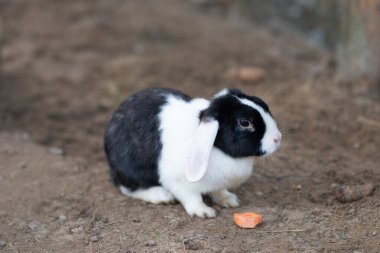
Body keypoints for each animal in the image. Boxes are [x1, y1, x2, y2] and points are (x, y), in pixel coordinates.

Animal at [102, 87, 280, 217]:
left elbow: (218, 190)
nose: (277, 138)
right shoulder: (179, 182)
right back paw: (160, 196)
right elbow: (191, 197)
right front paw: (204, 212)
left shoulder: (217, 183)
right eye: (244, 122)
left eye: (263, 104)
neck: (219, 149)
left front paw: (229, 200)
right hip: (131, 169)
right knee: (128, 188)